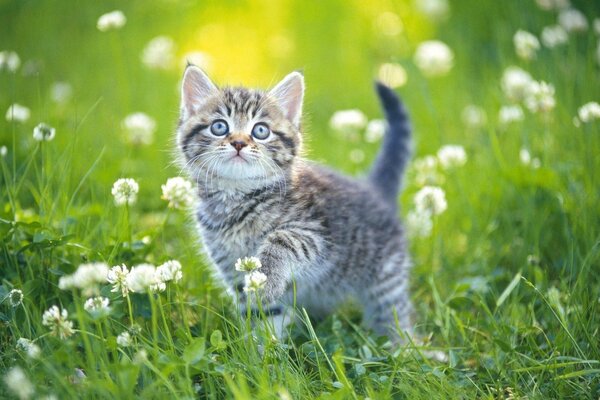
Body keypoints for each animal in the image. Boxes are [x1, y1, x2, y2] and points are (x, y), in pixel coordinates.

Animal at [176, 65, 414, 340]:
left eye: (260, 131)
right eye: (219, 127)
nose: (238, 142)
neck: (236, 198)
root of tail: (374, 188)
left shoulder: (318, 233)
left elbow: (283, 239)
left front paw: (266, 280)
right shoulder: (229, 265)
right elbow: (263, 314)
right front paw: (261, 348)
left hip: (386, 276)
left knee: (395, 312)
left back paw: (405, 345)